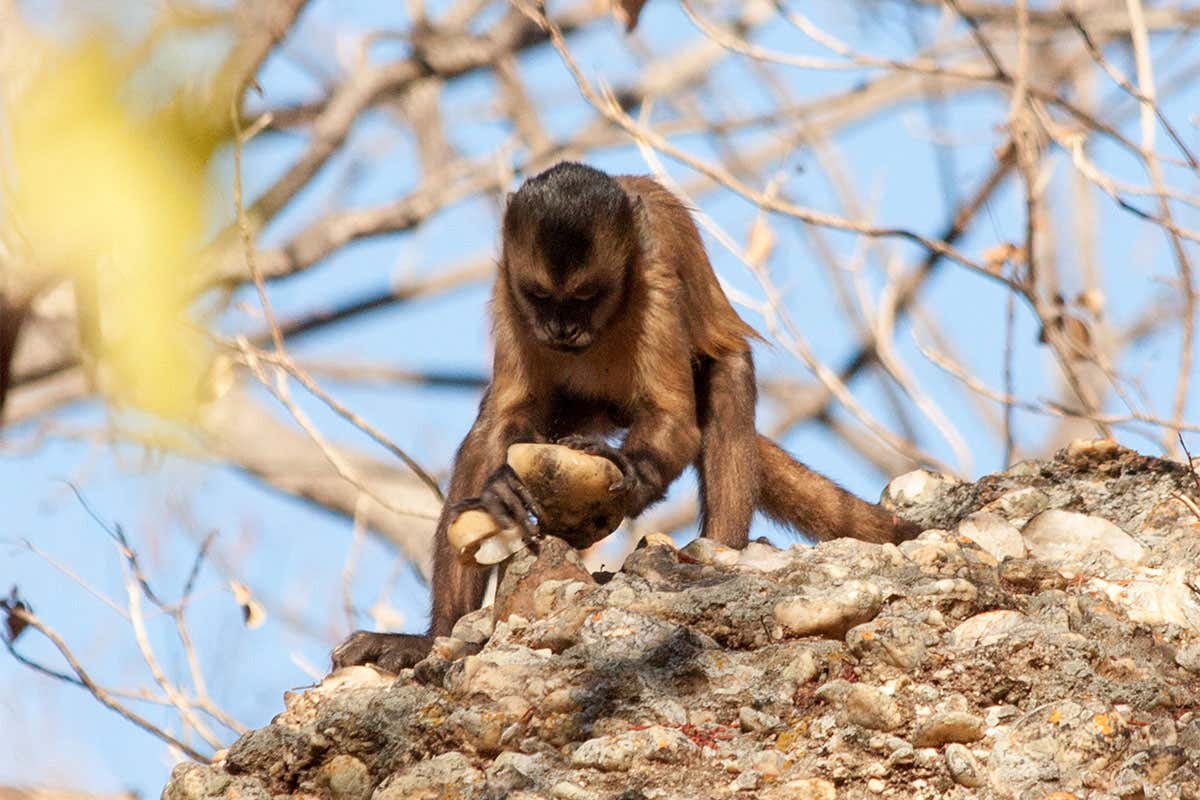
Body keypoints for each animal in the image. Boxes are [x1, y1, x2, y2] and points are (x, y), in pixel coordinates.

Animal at [331, 162, 920, 672]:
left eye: (585, 297)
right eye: (541, 296)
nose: (562, 329)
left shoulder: (656, 277)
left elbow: (675, 419)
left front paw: (631, 473)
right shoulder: (507, 285)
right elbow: (502, 421)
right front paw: (502, 489)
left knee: (725, 376)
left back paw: (719, 550)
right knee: (490, 430)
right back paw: (434, 638)